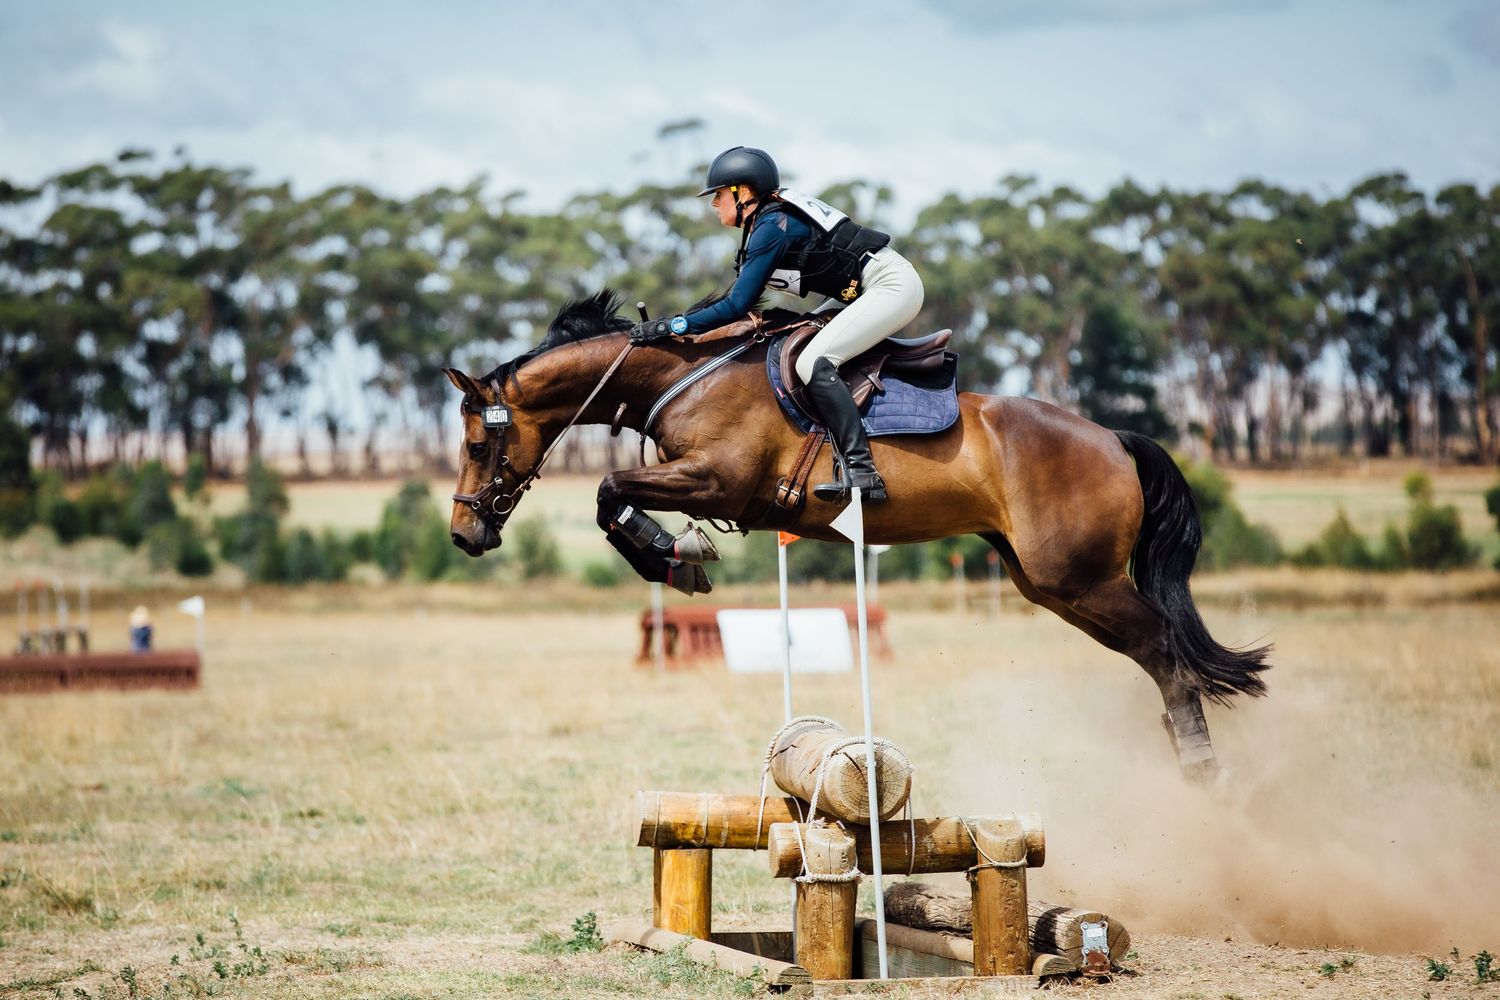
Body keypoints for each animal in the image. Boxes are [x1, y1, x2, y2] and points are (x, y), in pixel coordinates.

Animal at [443, 290, 1269, 782]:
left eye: (479, 445)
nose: (463, 534)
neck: (684, 371)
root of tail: (1112, 438)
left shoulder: (718, 479)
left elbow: (610, 490)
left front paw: (677, 556)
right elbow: (611, 496)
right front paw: (676, 557)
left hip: (1081, 578)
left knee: (1163, 647)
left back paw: (1200, 766)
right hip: (1052, 585)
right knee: (1156, 652)